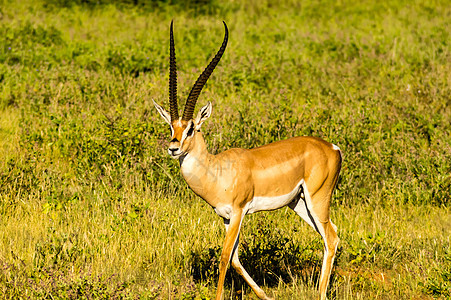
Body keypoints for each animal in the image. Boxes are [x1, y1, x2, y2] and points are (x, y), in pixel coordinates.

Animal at [153, 21, 342, 300]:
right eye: (171, 127)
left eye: (191, 128)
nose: (173, 148)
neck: (218, 170)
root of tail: (332, 147)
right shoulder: (225, 217)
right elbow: (234, 259)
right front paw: (266, 296)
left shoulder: (239, 212)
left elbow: (223, 257)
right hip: (299, 203)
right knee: (331, 234)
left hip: (317, 199)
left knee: (331, 237)